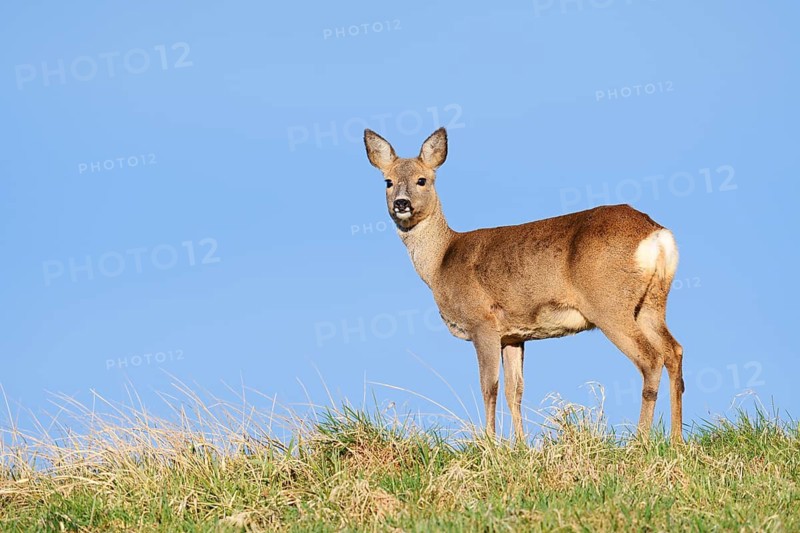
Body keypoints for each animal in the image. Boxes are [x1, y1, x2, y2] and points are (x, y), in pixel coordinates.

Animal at [363, 127, 685, 443]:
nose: (401, 203)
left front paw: (489, 443)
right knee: (674, 351)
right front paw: (520, 444)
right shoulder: (514, 334)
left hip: (609, 303)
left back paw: (640, 441)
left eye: (423, 180)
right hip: (651, 303)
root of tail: (657, 235)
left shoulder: (483, 322)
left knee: (651, 358)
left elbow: (489, 386)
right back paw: (676, 439)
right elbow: (514, 390)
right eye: (388, 182)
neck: (441, 260)